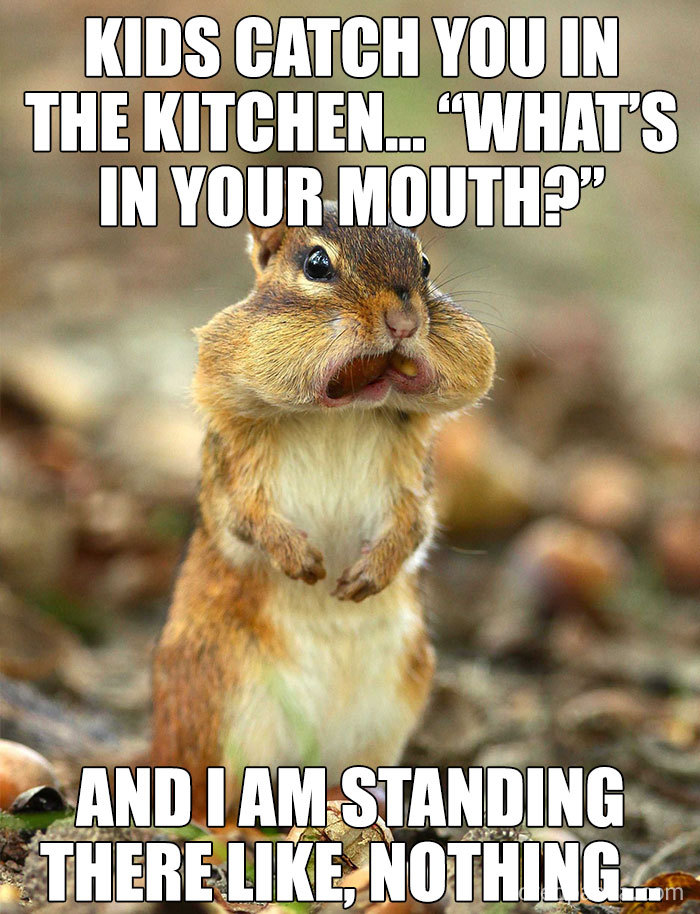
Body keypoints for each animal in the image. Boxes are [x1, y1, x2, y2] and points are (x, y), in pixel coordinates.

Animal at [151, 202, 495, 822]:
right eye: (316, 265)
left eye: (424, 263)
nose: (405, 321)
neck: (341, 415)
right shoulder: (236, 469)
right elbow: (246, 516)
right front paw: (299, 560)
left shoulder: (413, 478)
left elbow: (417, 524)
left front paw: (369, 574)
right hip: (222, 715)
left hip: (386, 715)